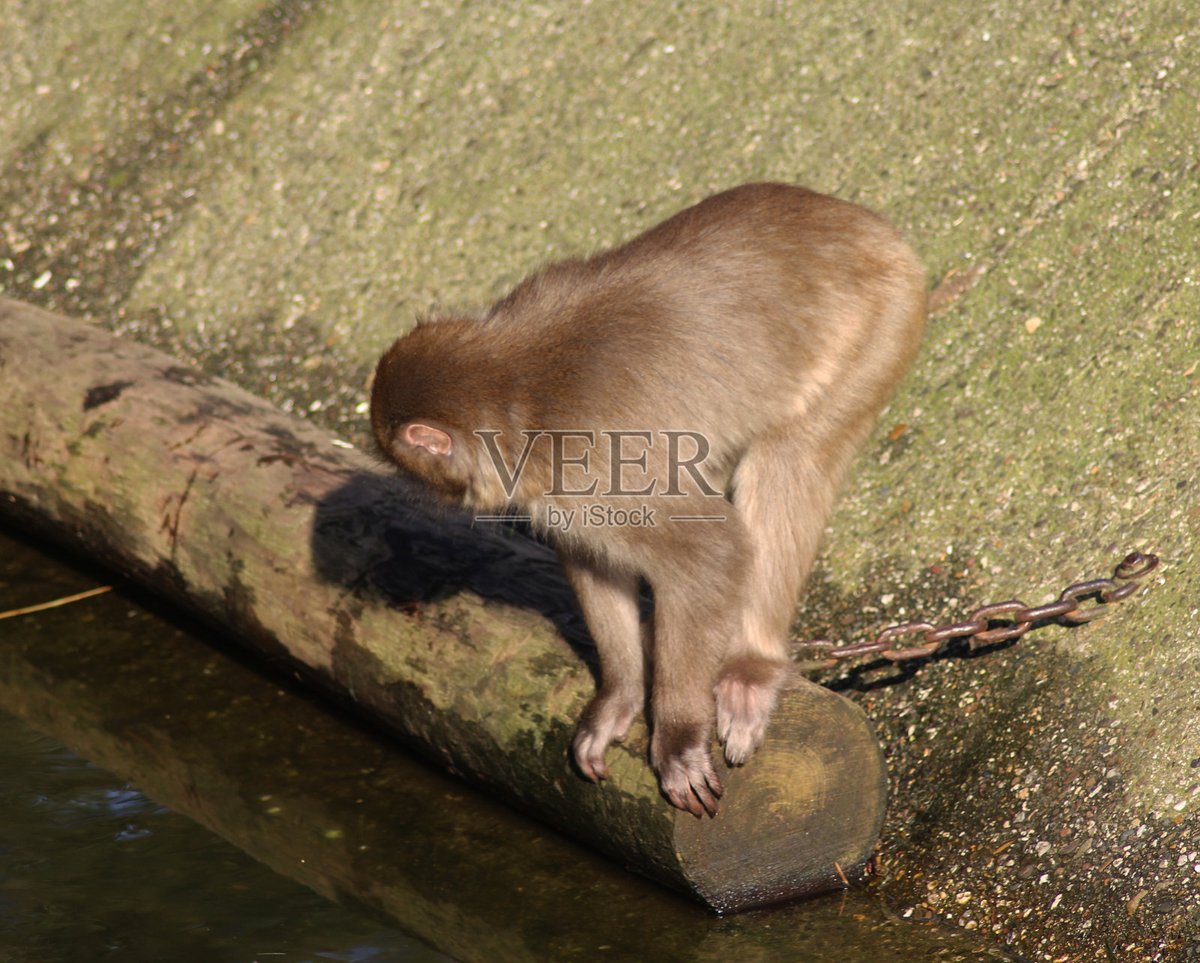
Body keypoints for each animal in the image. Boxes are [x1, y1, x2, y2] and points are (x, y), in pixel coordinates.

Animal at [370, 183, 926, 817]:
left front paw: (678, 737)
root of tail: (869, 228)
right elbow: (594, 562)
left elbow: (712, 552)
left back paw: (751, 667)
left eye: (399, 461)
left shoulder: (590, 472)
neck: (513, 394)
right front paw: (621, 696)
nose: (416, 491)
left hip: (881, 321)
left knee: (789, 458)